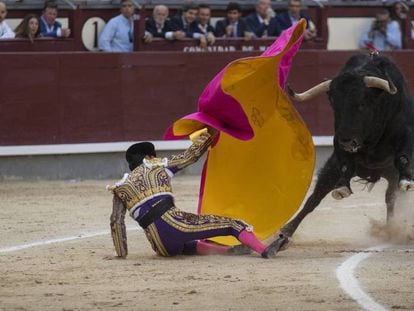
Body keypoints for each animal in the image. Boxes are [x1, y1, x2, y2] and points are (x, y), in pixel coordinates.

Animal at [282, 54, 414, 239]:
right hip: (331, 167)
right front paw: (342, 187)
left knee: (391, 198)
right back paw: (282, 236)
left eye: (362, 104)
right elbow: (344, 165)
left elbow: (403, 158)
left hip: (390, 175)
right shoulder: (337, 144)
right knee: (314, 198)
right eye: (334, 105)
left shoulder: (406, 133)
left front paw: (406, 181)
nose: (347, 141)